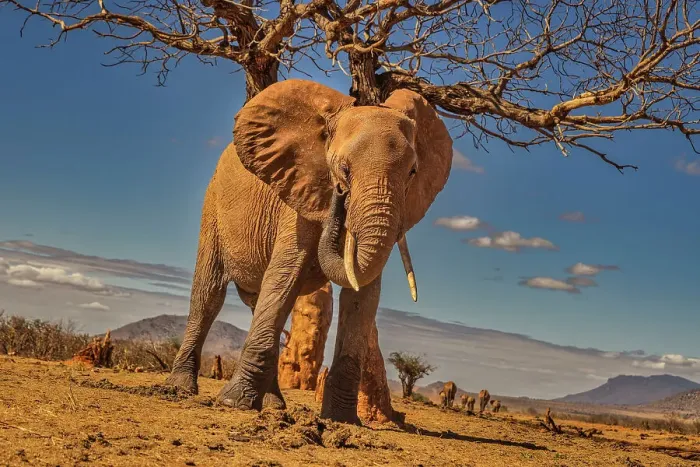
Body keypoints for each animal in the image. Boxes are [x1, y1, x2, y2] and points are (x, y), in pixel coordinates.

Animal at [164, 79, 453, 424]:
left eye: (412, 172)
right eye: (343, 169)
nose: (339, 197)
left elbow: (364, 294)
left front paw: (341, 420)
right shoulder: (297, 197)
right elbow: (287, 274)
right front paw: (233, 403)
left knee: (261, 303)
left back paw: (273, 406)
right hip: (213, 206)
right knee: (209, 296)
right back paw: (180, 390)